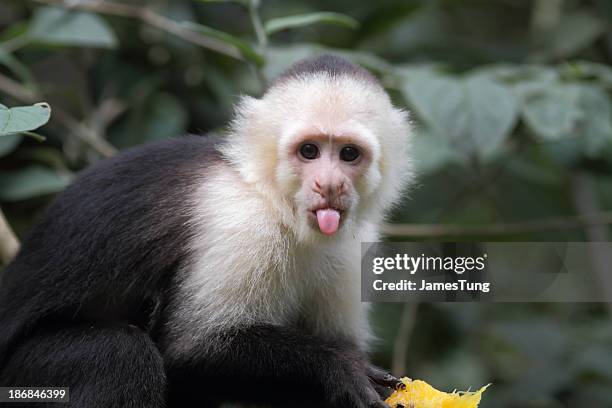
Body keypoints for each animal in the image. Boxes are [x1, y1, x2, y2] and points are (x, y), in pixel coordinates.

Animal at [0, 55, 414, 408]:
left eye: (349, 154)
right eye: (309, 151)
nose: (328, 185)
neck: (275, 203)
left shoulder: (352, 247)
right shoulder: (241, 222)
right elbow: (191, 349)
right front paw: (337, 364)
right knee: (119, 355)